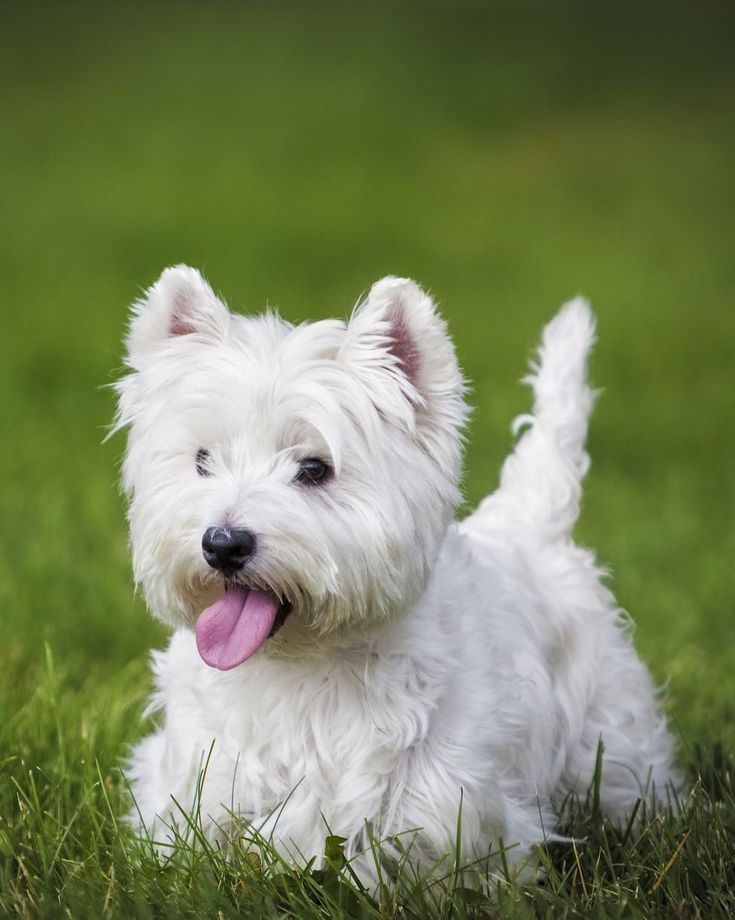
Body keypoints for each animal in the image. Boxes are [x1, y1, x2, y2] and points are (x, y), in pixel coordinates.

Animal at [115, 270, 680, 888]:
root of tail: (529, 523)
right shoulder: (200, 783)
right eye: (202, 460)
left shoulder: (448, 807)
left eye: (314, 468)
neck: (301, 669)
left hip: (610, 731)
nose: (222, 544)